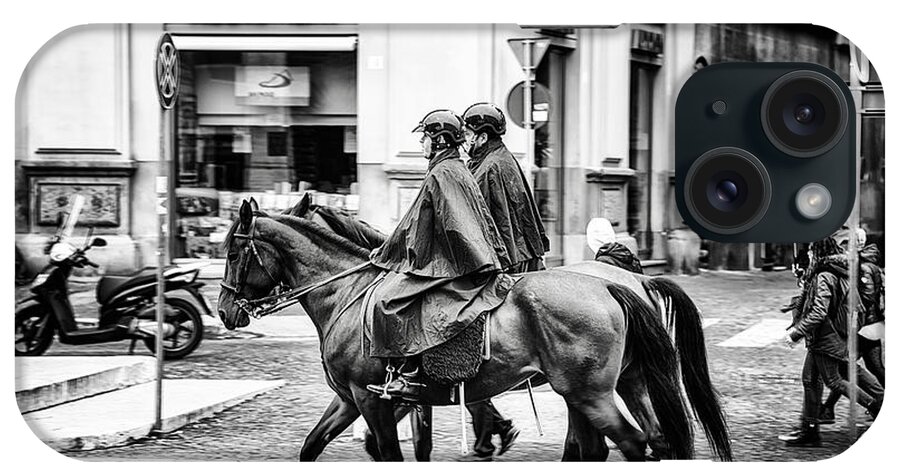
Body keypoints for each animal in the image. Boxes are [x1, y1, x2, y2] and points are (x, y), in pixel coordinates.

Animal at [221, 200, 708, 462]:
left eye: (232, 252)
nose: (226, 311)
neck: (349, 294)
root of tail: (614, 282)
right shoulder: (351, 399)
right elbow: (313, 446)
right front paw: (492, 435)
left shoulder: (372, 399)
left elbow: (390, 451)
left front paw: (491, 436)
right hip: (617, 385)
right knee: (640, 441)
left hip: (590, 393)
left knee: (631, 444)